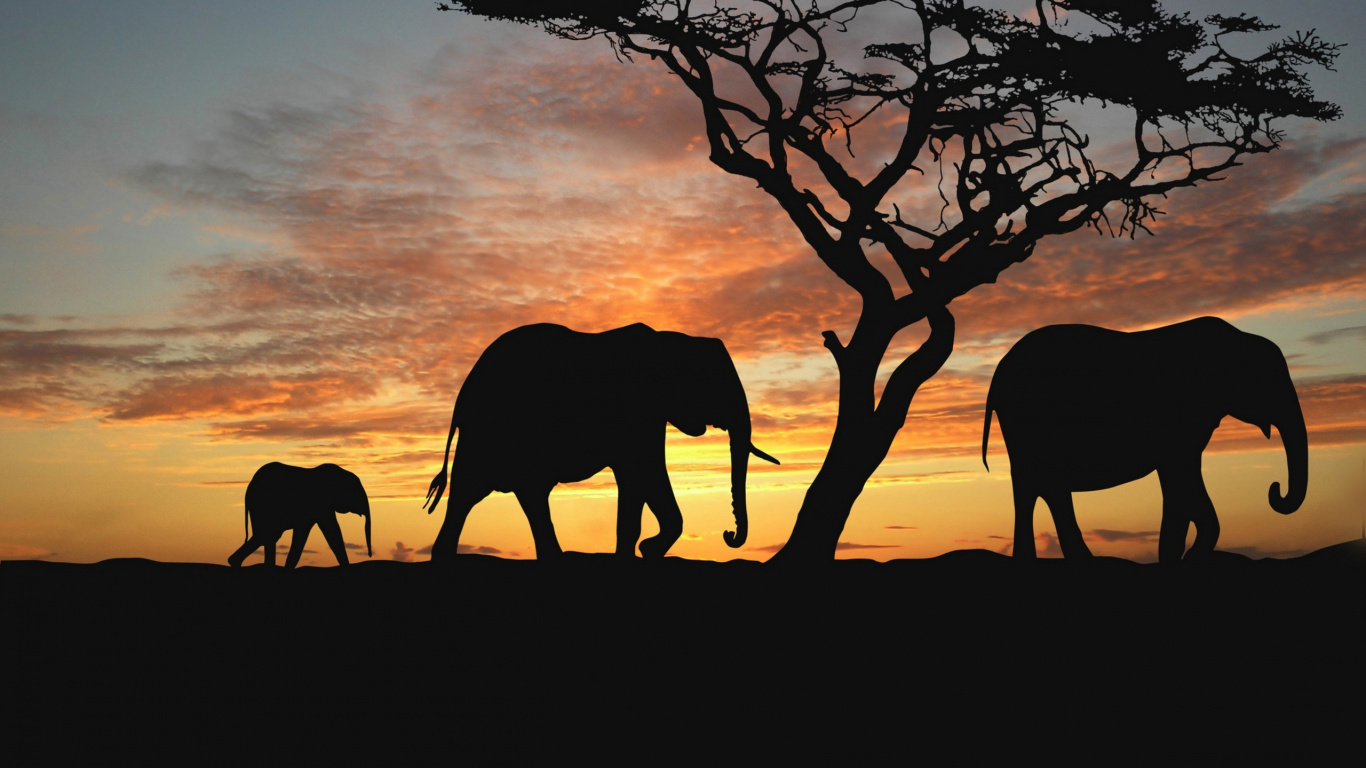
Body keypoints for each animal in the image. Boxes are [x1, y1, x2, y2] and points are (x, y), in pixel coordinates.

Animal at [227, 462, 372, 568]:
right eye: (357, 492)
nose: (370, 555)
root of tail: (249, 487)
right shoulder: (320, 505)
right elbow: (330, 532)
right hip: (262, 506)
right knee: (265, 536)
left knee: (267, 537)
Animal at [423, 322, 779, 560]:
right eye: (717, 386)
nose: (729, 534)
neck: (671, 340)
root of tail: (462, 396)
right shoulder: (637, 412)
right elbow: (643, 472)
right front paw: (644, 550)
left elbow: (643, 479)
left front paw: (644, 551)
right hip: (490, 432)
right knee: (474, 493)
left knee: (514, 495)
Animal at [981, 317, 1307, 562]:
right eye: (1269, 381)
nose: (1275, 489)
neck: (1236, 338)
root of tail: (997, 374)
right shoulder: (1179, 422)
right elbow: (1180, 479)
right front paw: (1182, 557)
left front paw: (1182, 556)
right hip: (1027, 423)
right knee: (1037, 486)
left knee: (1042, 487)